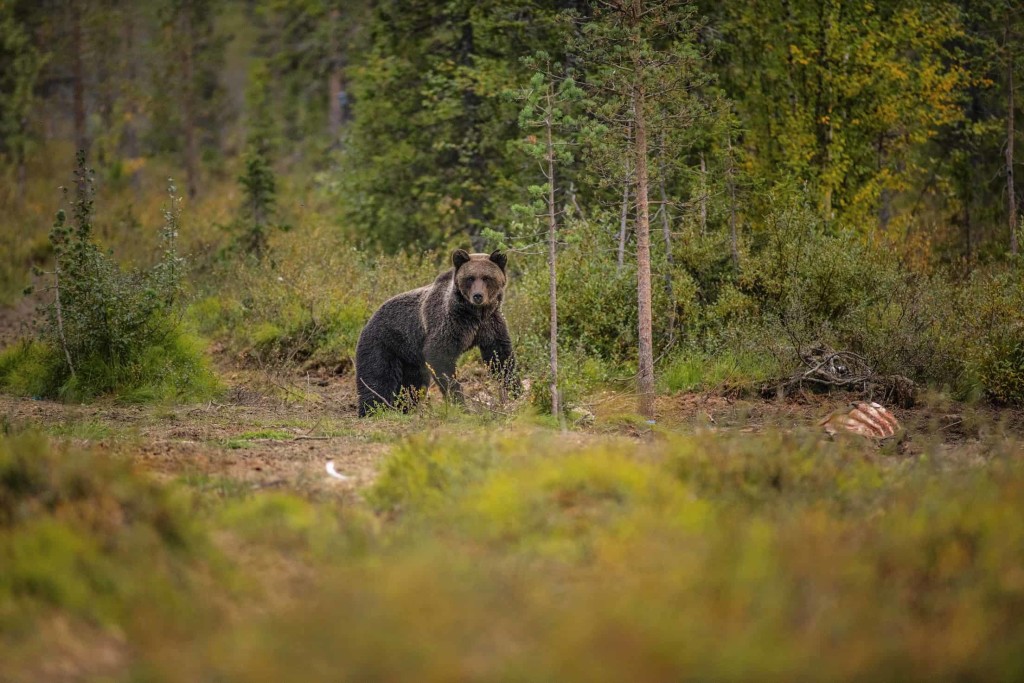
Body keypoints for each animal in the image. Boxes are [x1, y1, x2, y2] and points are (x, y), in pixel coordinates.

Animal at [358, 248, 520, 413]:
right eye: (470, 278)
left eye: (487, 278)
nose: (478, 296)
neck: (475, 314)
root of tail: (369, 319)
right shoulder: (451, 322)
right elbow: (440, 355)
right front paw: (459, 401)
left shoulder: (490, 325)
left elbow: (501, 357)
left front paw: (516, 391)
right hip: (384, 343)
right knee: (377, 379)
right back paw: (372, 411)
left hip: (410, 358)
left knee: (412, 384)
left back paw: (404, 408)